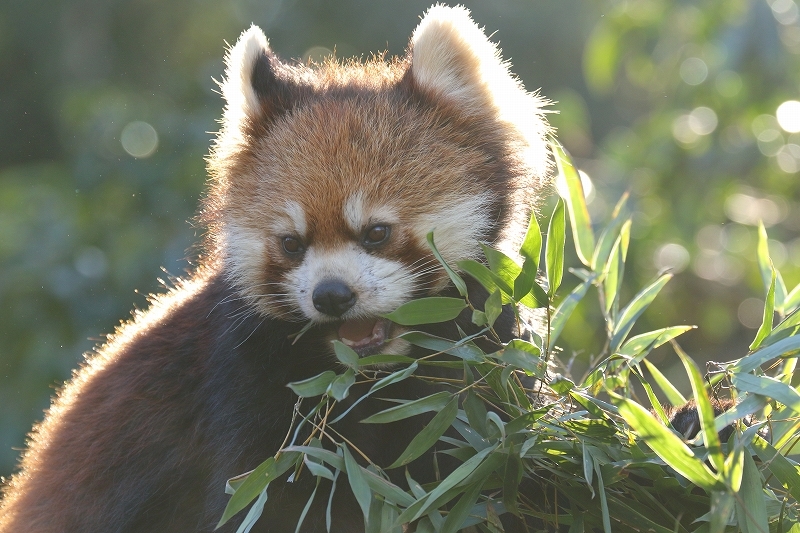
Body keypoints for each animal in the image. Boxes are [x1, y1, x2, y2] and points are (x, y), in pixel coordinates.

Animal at [0, 4, 552, 532]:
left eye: (376, 232)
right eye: (291, 243)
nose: (332, 295)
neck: (371, 380)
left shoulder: (487, 378)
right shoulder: (243, 396)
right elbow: (258, 501)